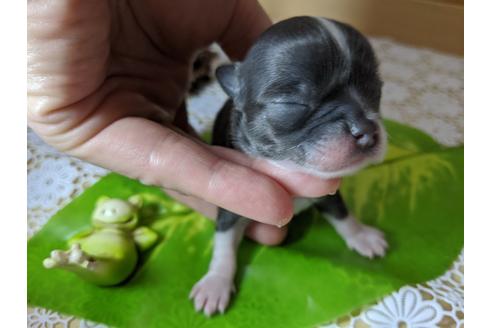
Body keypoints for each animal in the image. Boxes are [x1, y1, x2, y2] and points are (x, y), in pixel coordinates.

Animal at [189, 16, 388, 316]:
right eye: (292, 103)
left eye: (376, 89)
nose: (366, 129)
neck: (291, 169)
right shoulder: (231, 204)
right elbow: (224, 243)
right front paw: (216, 283)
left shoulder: (327, 190)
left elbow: (341, 213)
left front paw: (361, 235)